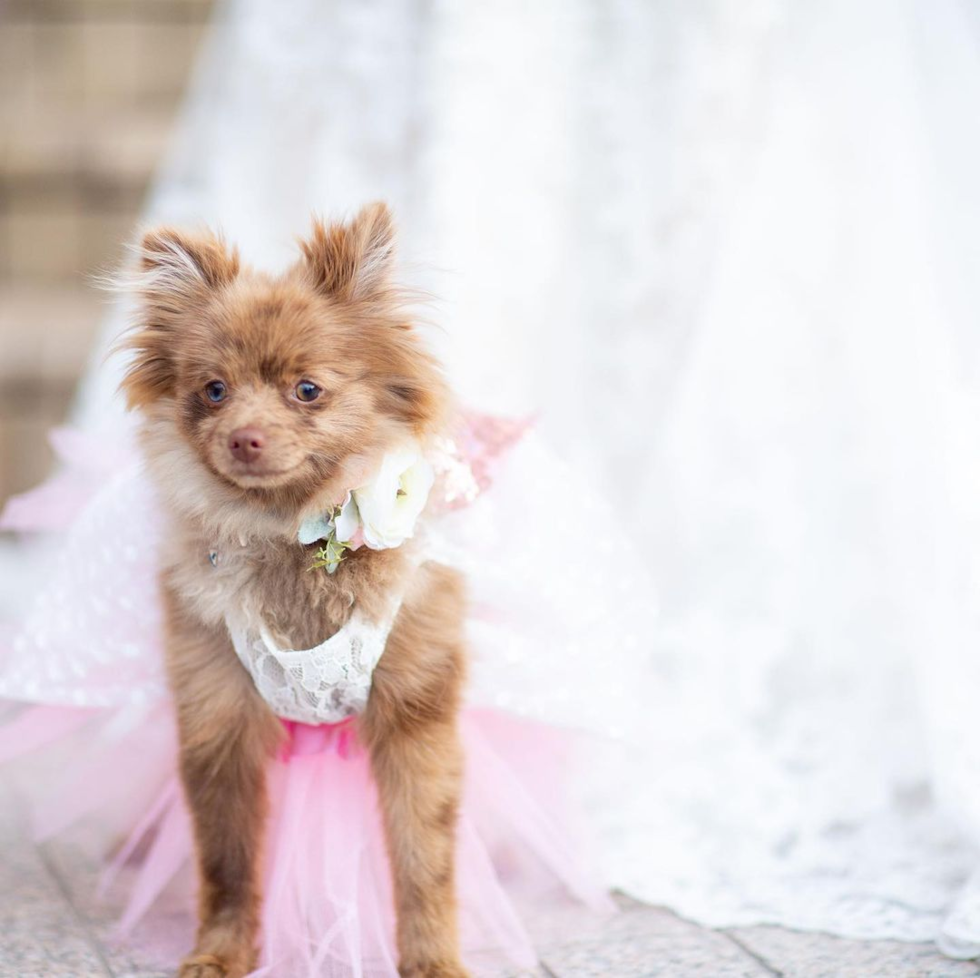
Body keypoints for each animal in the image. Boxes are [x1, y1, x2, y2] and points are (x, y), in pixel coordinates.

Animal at [118, 200, 470, 976]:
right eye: (213, 391)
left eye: (307, 390)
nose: (245, 436)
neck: (288, 532)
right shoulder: (216, 711)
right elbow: (225, 856)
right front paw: (219, 951)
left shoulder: (417, 716)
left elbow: (424, 857)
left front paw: (433, 958)